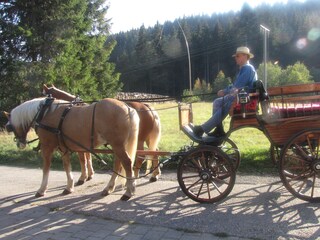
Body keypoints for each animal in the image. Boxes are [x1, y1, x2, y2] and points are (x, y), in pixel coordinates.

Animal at [3, 96, 139, 200]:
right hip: (117, 145)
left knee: (127, 163)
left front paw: (41, 190)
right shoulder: (63, 147)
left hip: (117, 145)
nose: (20, 144)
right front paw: (69, 187)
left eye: (9, 127)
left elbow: (46, 168)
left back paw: (128, 192)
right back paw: (109, 188)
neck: (46, 113)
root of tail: (128, 108)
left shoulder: (47, 147)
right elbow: (67, 165)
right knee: (118, 164)